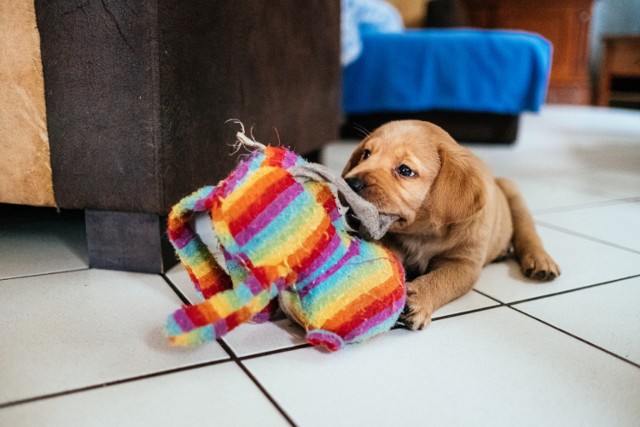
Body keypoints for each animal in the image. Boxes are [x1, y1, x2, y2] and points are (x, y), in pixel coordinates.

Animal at [342, 120, 556, 332]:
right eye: (366, 154)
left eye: (405, 170)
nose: (349, 183)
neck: (423, 234)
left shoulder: (464, 263)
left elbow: (442, 280)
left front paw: (418, 299)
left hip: (513, 194)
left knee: (528, 232)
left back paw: (541, 261)